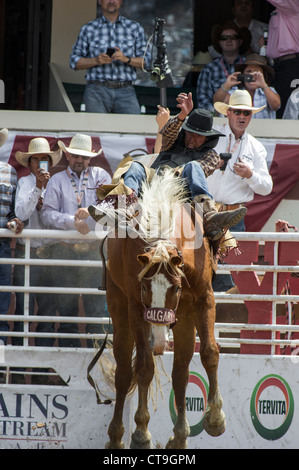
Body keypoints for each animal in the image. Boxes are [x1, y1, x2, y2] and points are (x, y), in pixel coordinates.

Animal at [102, 169, 225, 448]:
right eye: (144, 288)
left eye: (177, 288)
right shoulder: (136, 307)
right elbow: (144, 367)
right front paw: (141, 432)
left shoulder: (204, 298)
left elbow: (209, 353)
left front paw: (215, 419)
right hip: (118, 305)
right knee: (124, 371)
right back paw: (116, 436)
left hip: (185, 319)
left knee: (180, 371)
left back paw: (179, 436)